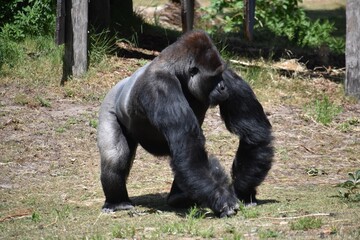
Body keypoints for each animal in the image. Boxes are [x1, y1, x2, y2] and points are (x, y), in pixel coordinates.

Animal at [96, 30, 272, 218]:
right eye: (213, 78)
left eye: (220, 75)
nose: (223, 87)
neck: (178, 73)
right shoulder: (161, 87)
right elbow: (189, 144)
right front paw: (222, 199)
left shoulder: (228, 74)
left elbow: (253, 132)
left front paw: (242, 190)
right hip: (109, 104)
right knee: (115, 157)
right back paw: (118, 202)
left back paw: (179, 197)